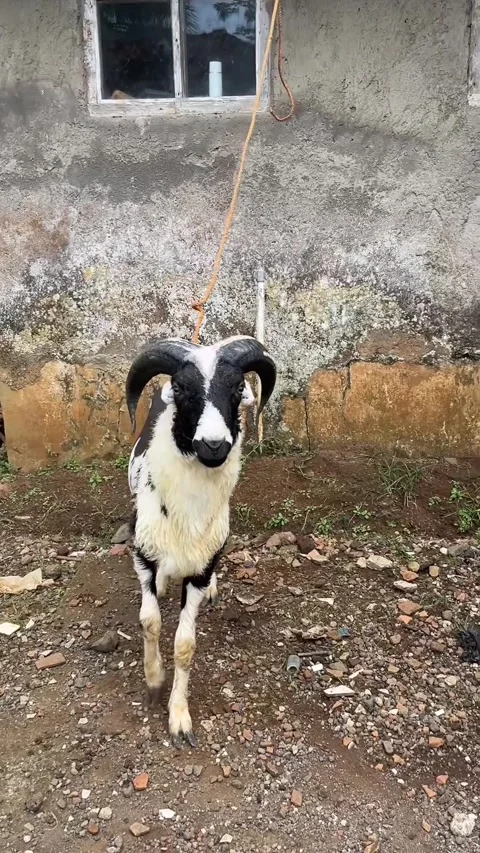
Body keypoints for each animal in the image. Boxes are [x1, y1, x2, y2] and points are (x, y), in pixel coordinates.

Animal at [126, 335, 277, 747]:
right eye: (180, 388)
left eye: (238, 387)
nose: (213, 445)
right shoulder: (143, 553)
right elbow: (149, 621)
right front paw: (153, 682)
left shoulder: (201, 565)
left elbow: (185, 645)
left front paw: (179, 717)